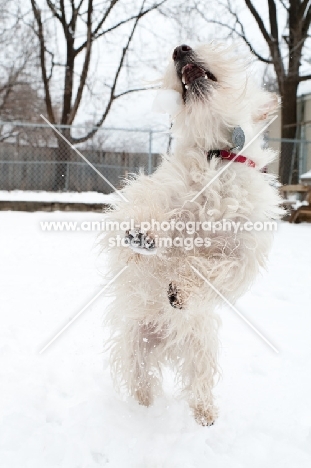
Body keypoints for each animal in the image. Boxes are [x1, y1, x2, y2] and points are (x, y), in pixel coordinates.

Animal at [101, 42, 284, 426]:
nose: (180, 48)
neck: (219, 154)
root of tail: (167, 340)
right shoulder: (155, 194)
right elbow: (149, 203)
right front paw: (144, 233)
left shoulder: (242, 253)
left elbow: (215, 268)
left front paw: (183, 289)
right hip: (135, 344)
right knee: (141, 381)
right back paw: (142, 412)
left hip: (201, 348)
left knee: (199, 383)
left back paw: (204, 414)